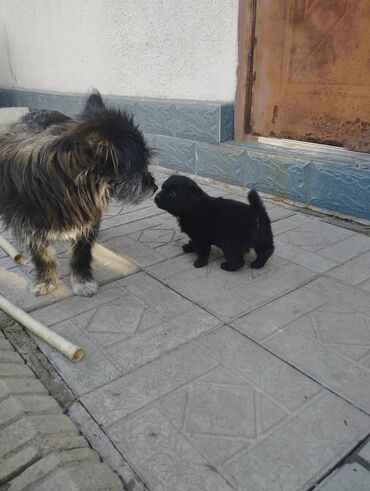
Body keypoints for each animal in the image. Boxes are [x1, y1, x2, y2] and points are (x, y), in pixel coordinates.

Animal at [0, 90, 157, 296]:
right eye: (138, 166)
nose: (155, 187)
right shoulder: (28, 227)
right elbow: (42, 256)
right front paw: (46, 280)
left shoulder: (87, 221)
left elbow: (80, 255)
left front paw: (82, 281)